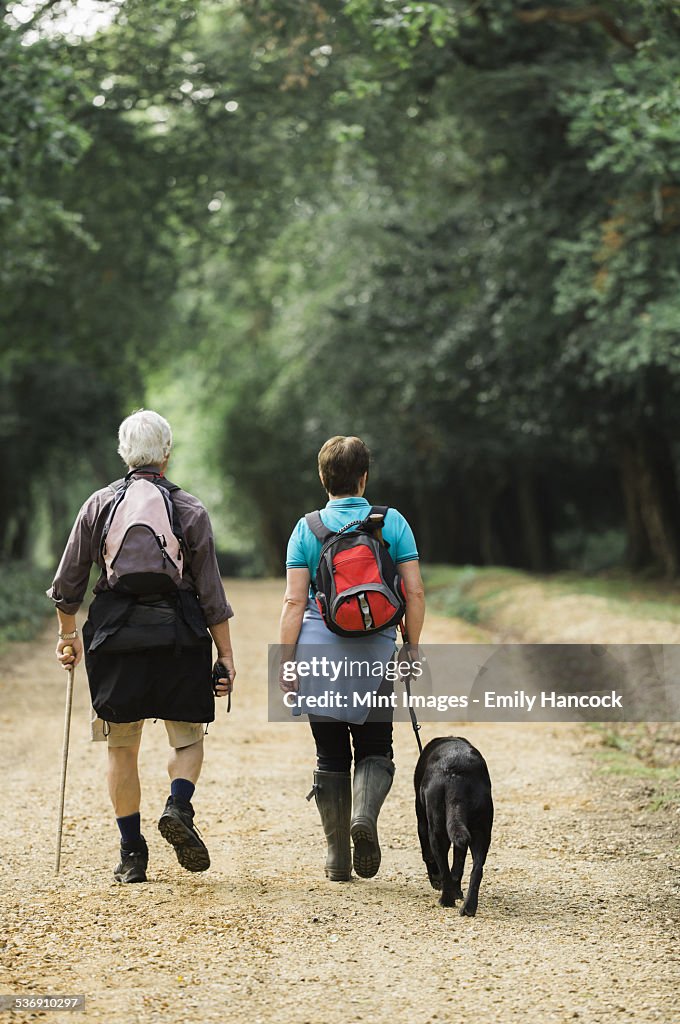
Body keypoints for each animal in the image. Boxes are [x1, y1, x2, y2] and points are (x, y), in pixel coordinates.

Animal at [413, 737, 493, 921]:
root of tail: (457, 777)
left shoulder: (422, 823)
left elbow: (430, 857)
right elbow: (458, 864)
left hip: (436, 832)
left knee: (443, 865)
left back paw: (446, 900)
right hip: (481, 832)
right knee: (476, 870)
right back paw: (468, 907)